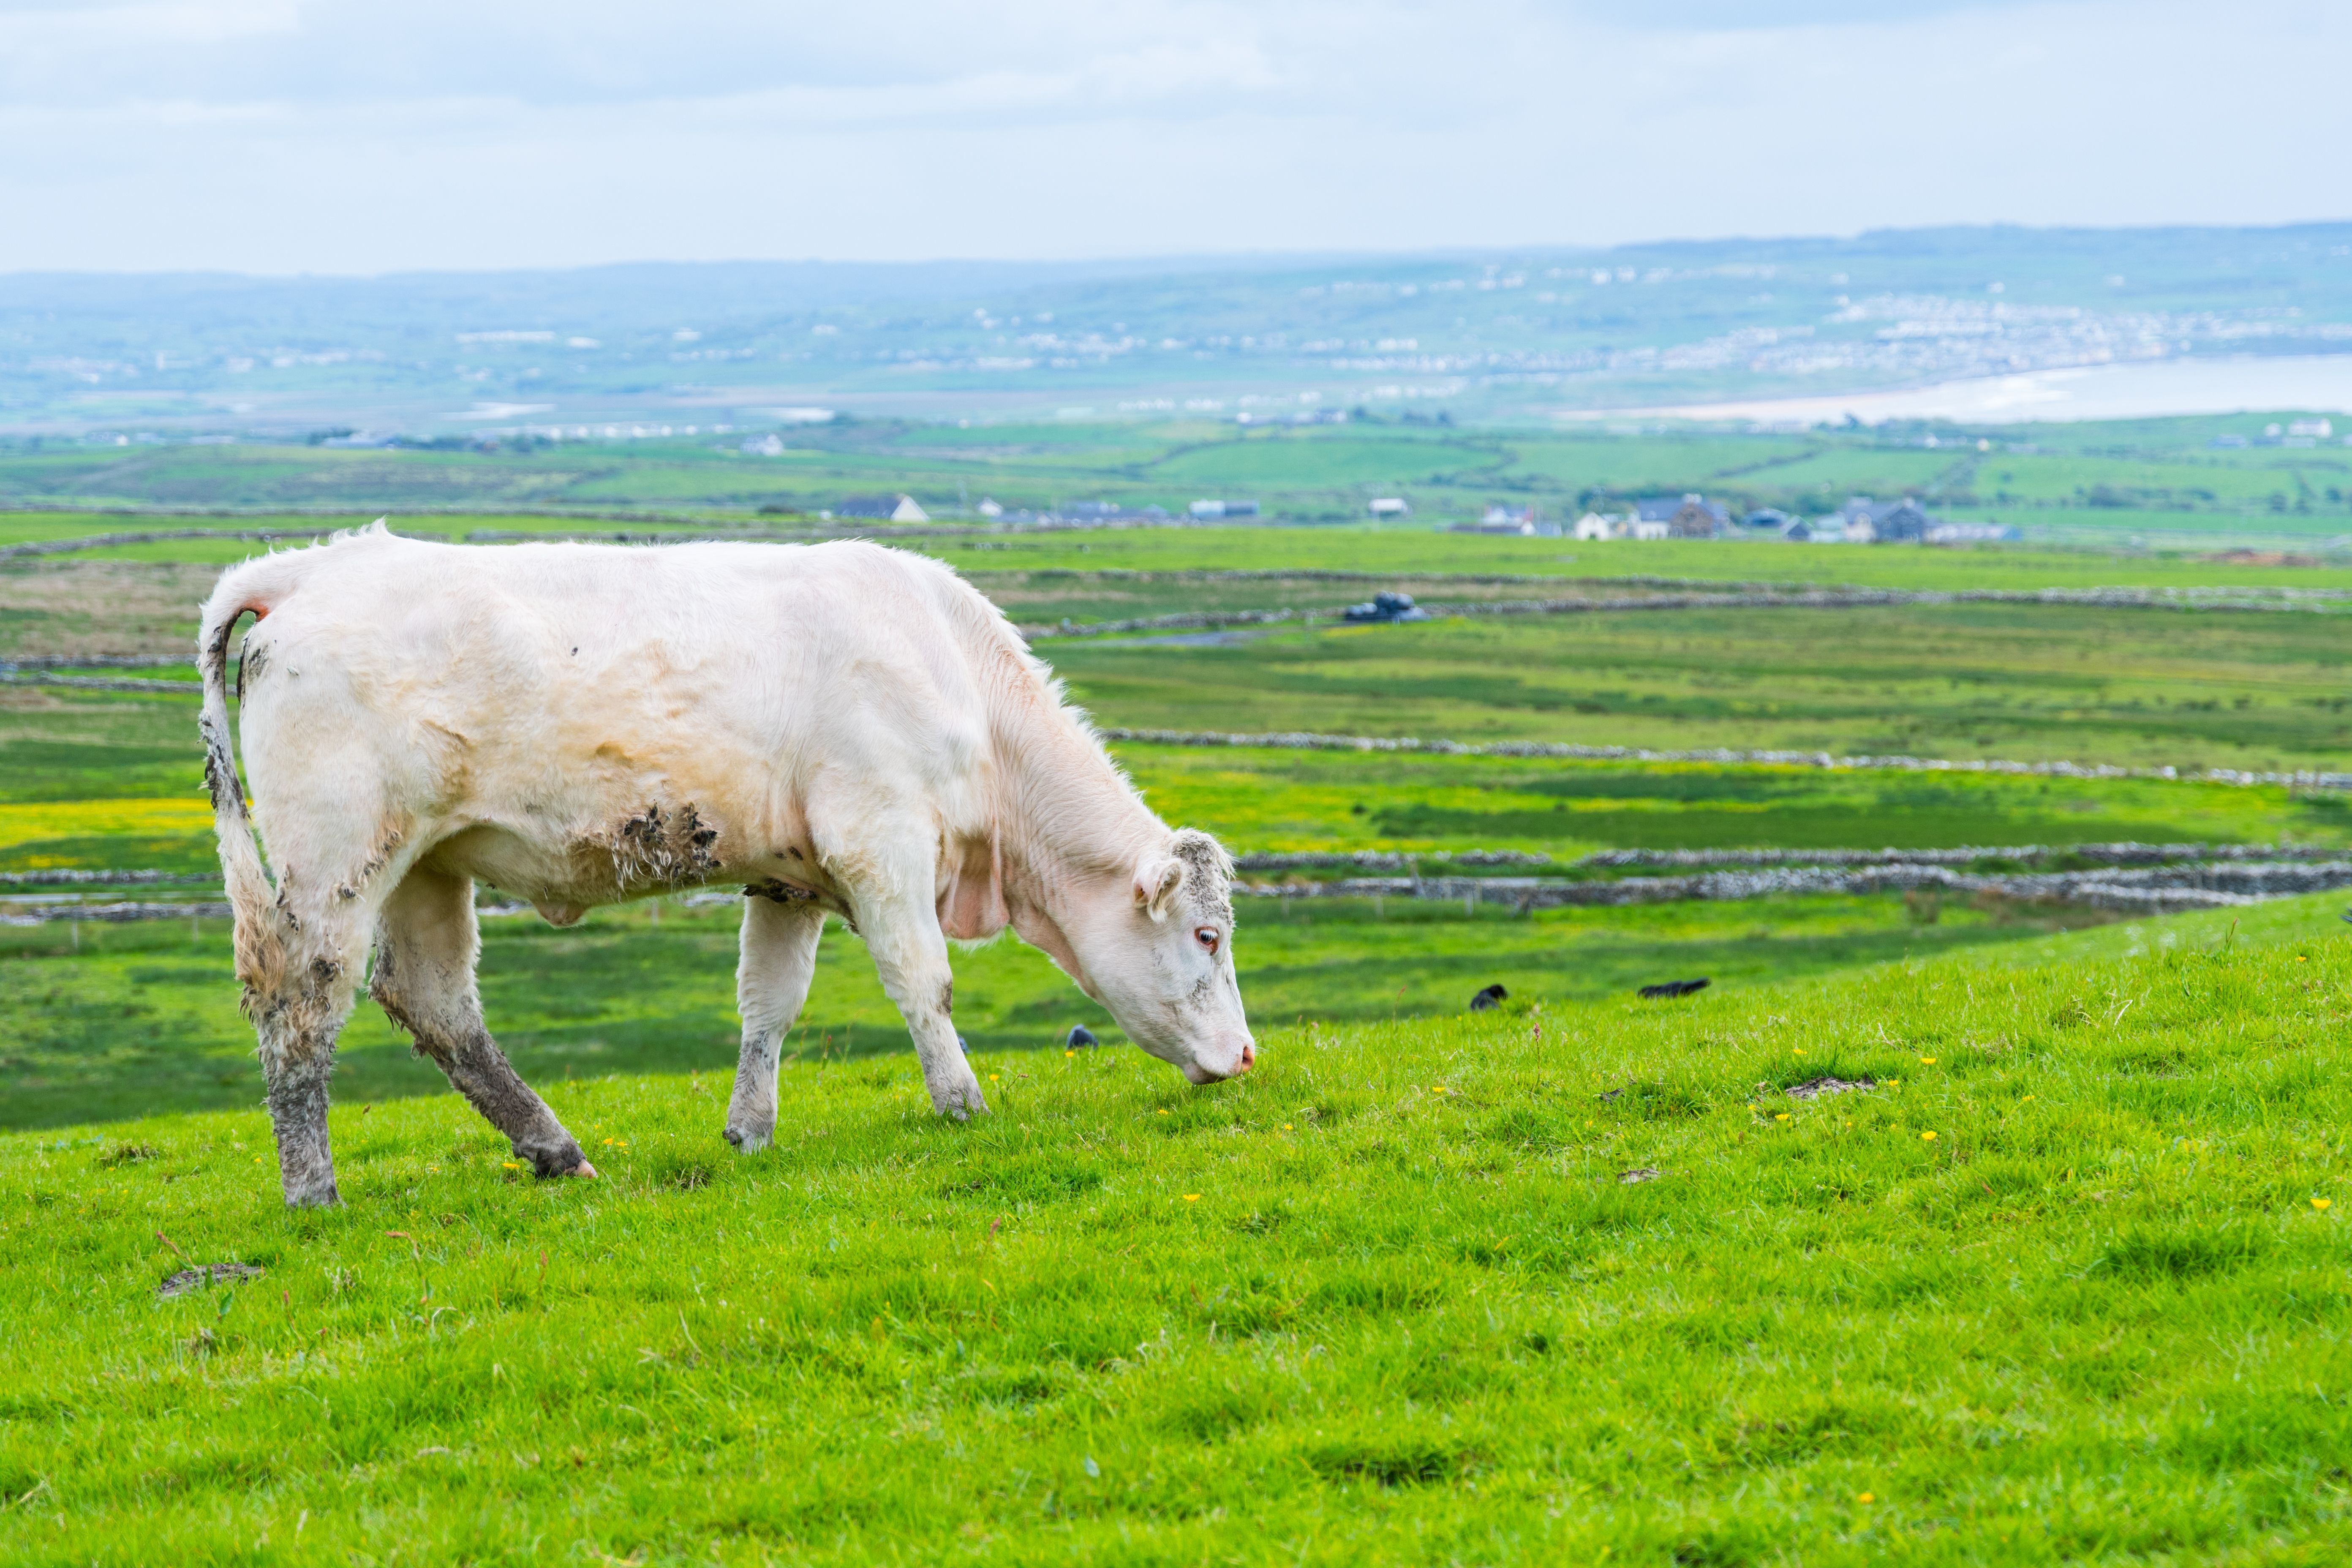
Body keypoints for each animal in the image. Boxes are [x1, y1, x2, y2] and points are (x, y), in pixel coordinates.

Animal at [196, 525, 1256, 1207]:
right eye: (1207, 934)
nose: (1248, 1056)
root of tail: (314, 567)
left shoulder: (790, 875)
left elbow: (770, 1000)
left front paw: (750, 1128)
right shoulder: (882, 839)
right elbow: (925, 980)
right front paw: (962, 1102)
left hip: (426, 862)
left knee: (434, 1001)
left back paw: (555, 1149)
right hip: (335, 862)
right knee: (302, 1000)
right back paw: (313, 1189)